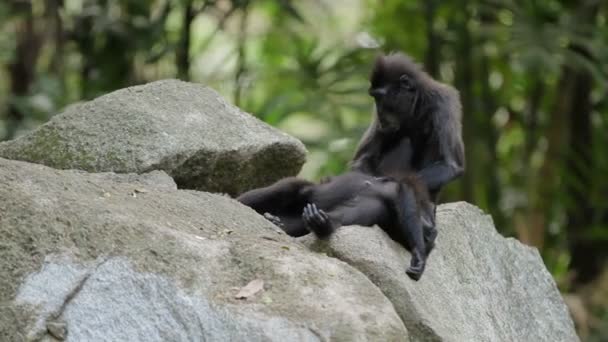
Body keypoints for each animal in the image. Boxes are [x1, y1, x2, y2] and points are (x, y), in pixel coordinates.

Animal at [352, 52, 466, 252]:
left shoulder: (443, 103)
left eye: (380, 98)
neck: (416, 109)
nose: (379, 112)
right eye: (374, 99)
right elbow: (361, 161)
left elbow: (450, 165)